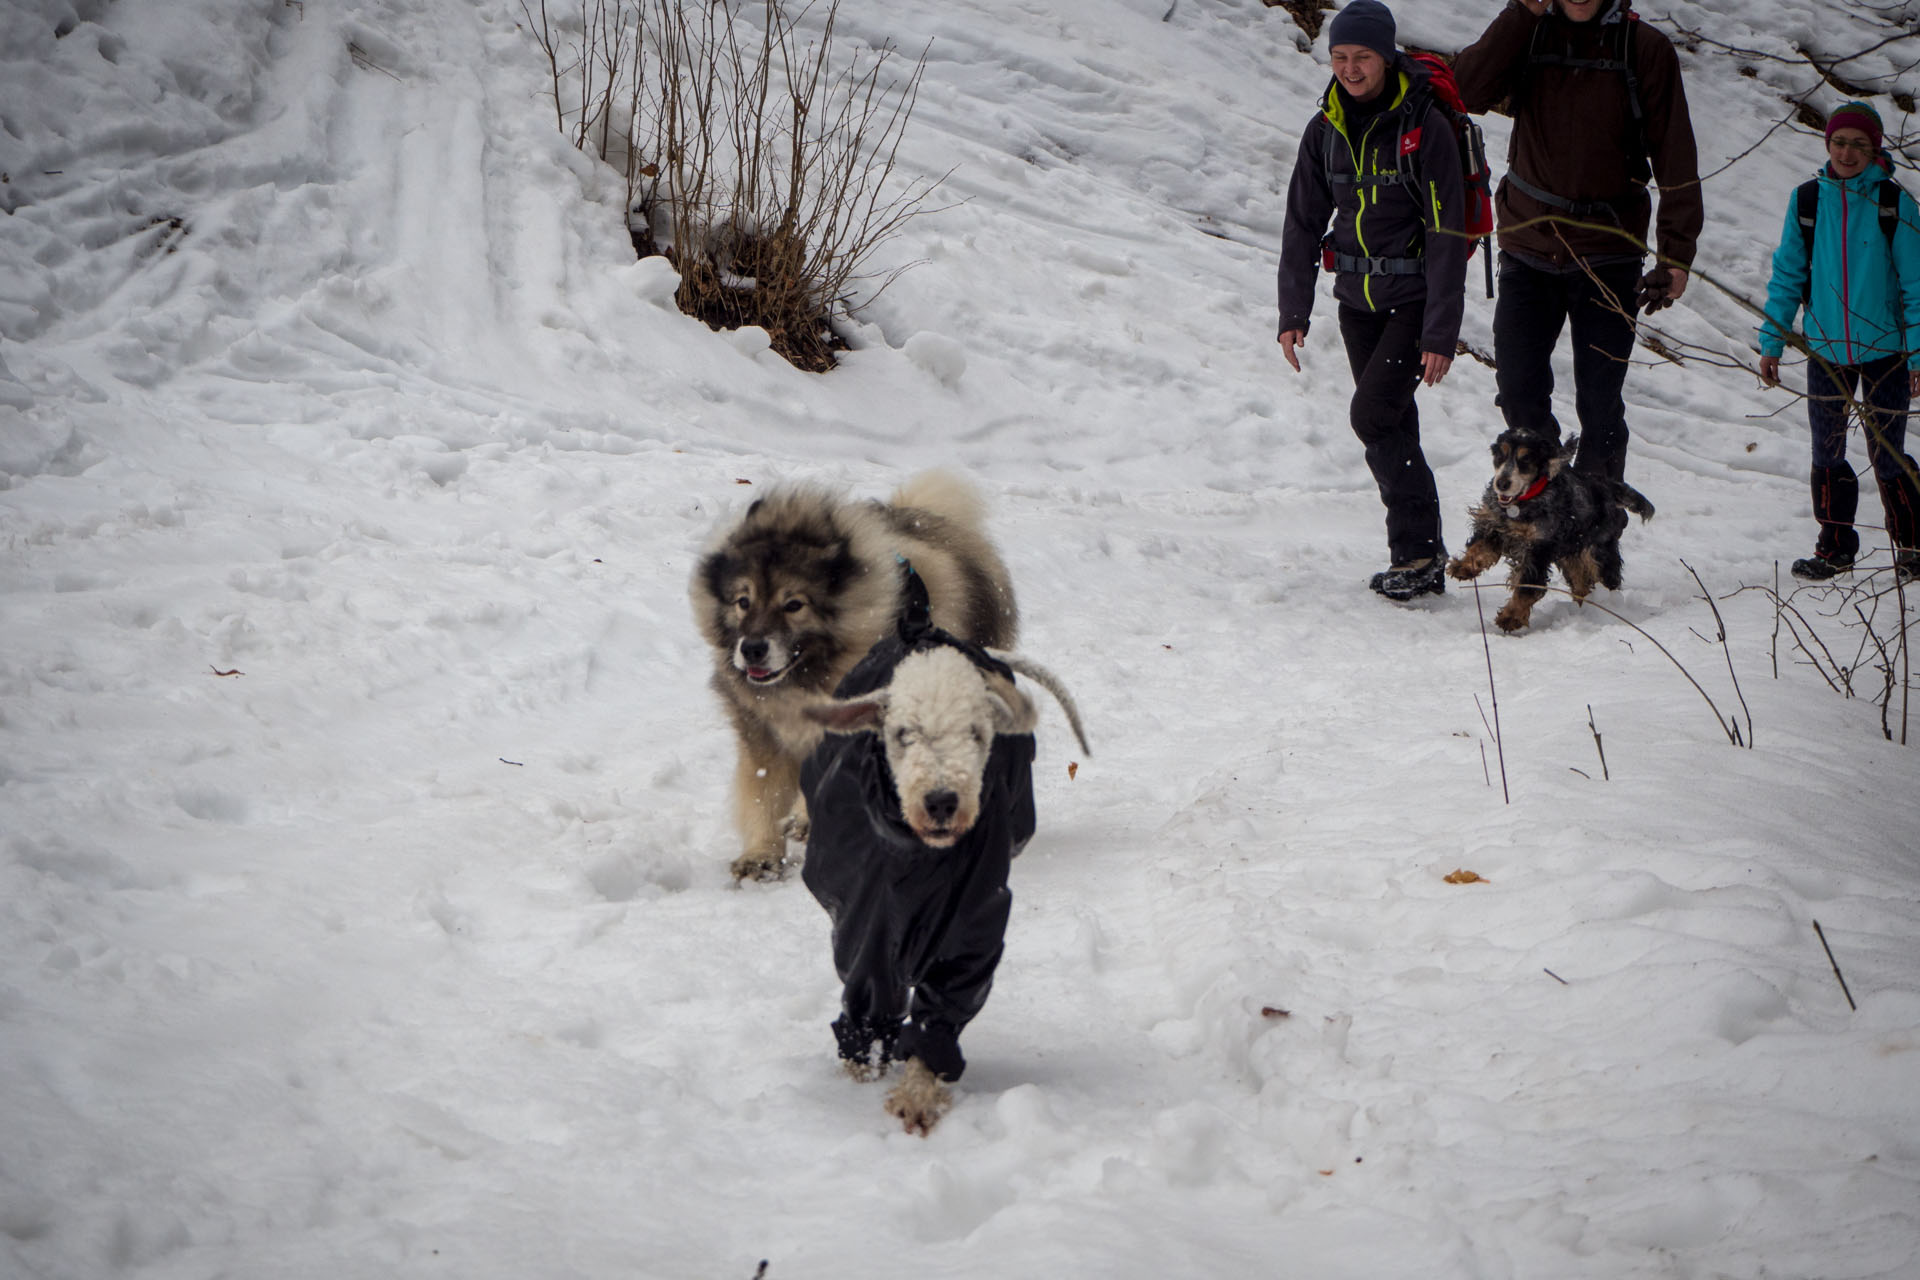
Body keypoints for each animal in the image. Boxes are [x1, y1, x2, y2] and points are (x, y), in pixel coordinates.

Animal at [691, 475, 1021, 886]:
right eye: (743, 601)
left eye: (794, 605)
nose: (752, 649)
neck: (812, 674)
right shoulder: (764, 732)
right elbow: (763, 794)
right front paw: (761, 856)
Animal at [1443, 429, 1658, 629]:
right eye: (1500, 455)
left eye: (1526, 459)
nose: (1502, 483)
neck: (1522, 503)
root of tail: (1606, 485)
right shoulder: (1495, 526)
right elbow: (1479, 548)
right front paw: (1463, 566)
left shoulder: (1538, 548)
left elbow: (1528, 586)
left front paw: (1511, 617)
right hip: (1571, 556)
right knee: (1582, 585)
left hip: (1598, 551)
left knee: (1607, 579)